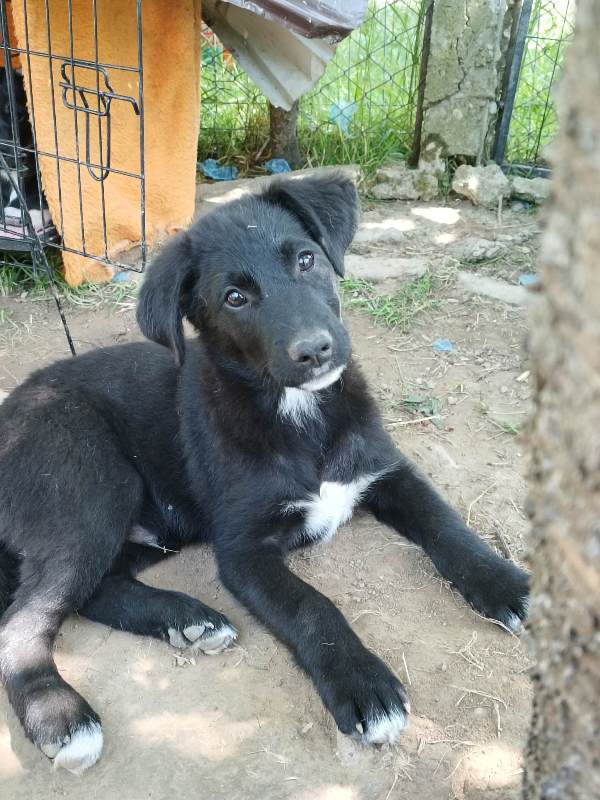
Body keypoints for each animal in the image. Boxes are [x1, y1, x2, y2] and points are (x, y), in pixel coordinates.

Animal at [0, 175, 524, 776]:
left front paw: (509, 584)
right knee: (23, 621)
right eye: (235, 298)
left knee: (94, 589)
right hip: (92, 485)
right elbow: (311, 606)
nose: (315, 349)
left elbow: (448, 527)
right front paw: (363, 684)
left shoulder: (388, 472)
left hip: (150, 528)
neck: (299, 414)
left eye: (305, 259)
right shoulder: (244, 549)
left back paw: (188, 619)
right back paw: (61, 716)